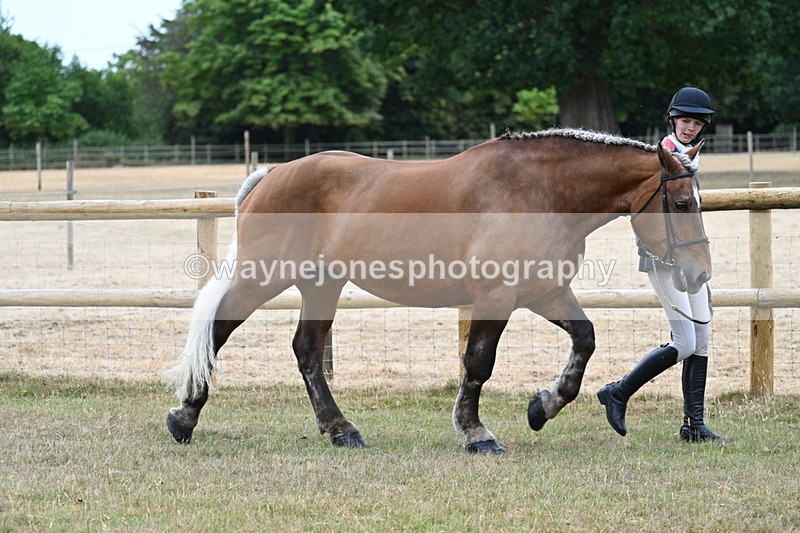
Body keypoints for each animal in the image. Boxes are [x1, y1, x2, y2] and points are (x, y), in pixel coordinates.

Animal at [166, 128, 710, 454]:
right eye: (683, 203)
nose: (700, 273)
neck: (540, 191)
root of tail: (272, 174)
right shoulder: (495, 298)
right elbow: (478, 364)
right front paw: (476, 433)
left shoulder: (544, 292)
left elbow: (585, 339)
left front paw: (543, 405)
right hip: (264, 275)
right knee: (218, 331)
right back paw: (184, 417)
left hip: (322, 285)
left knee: (306, 351)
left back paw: (341, 429)